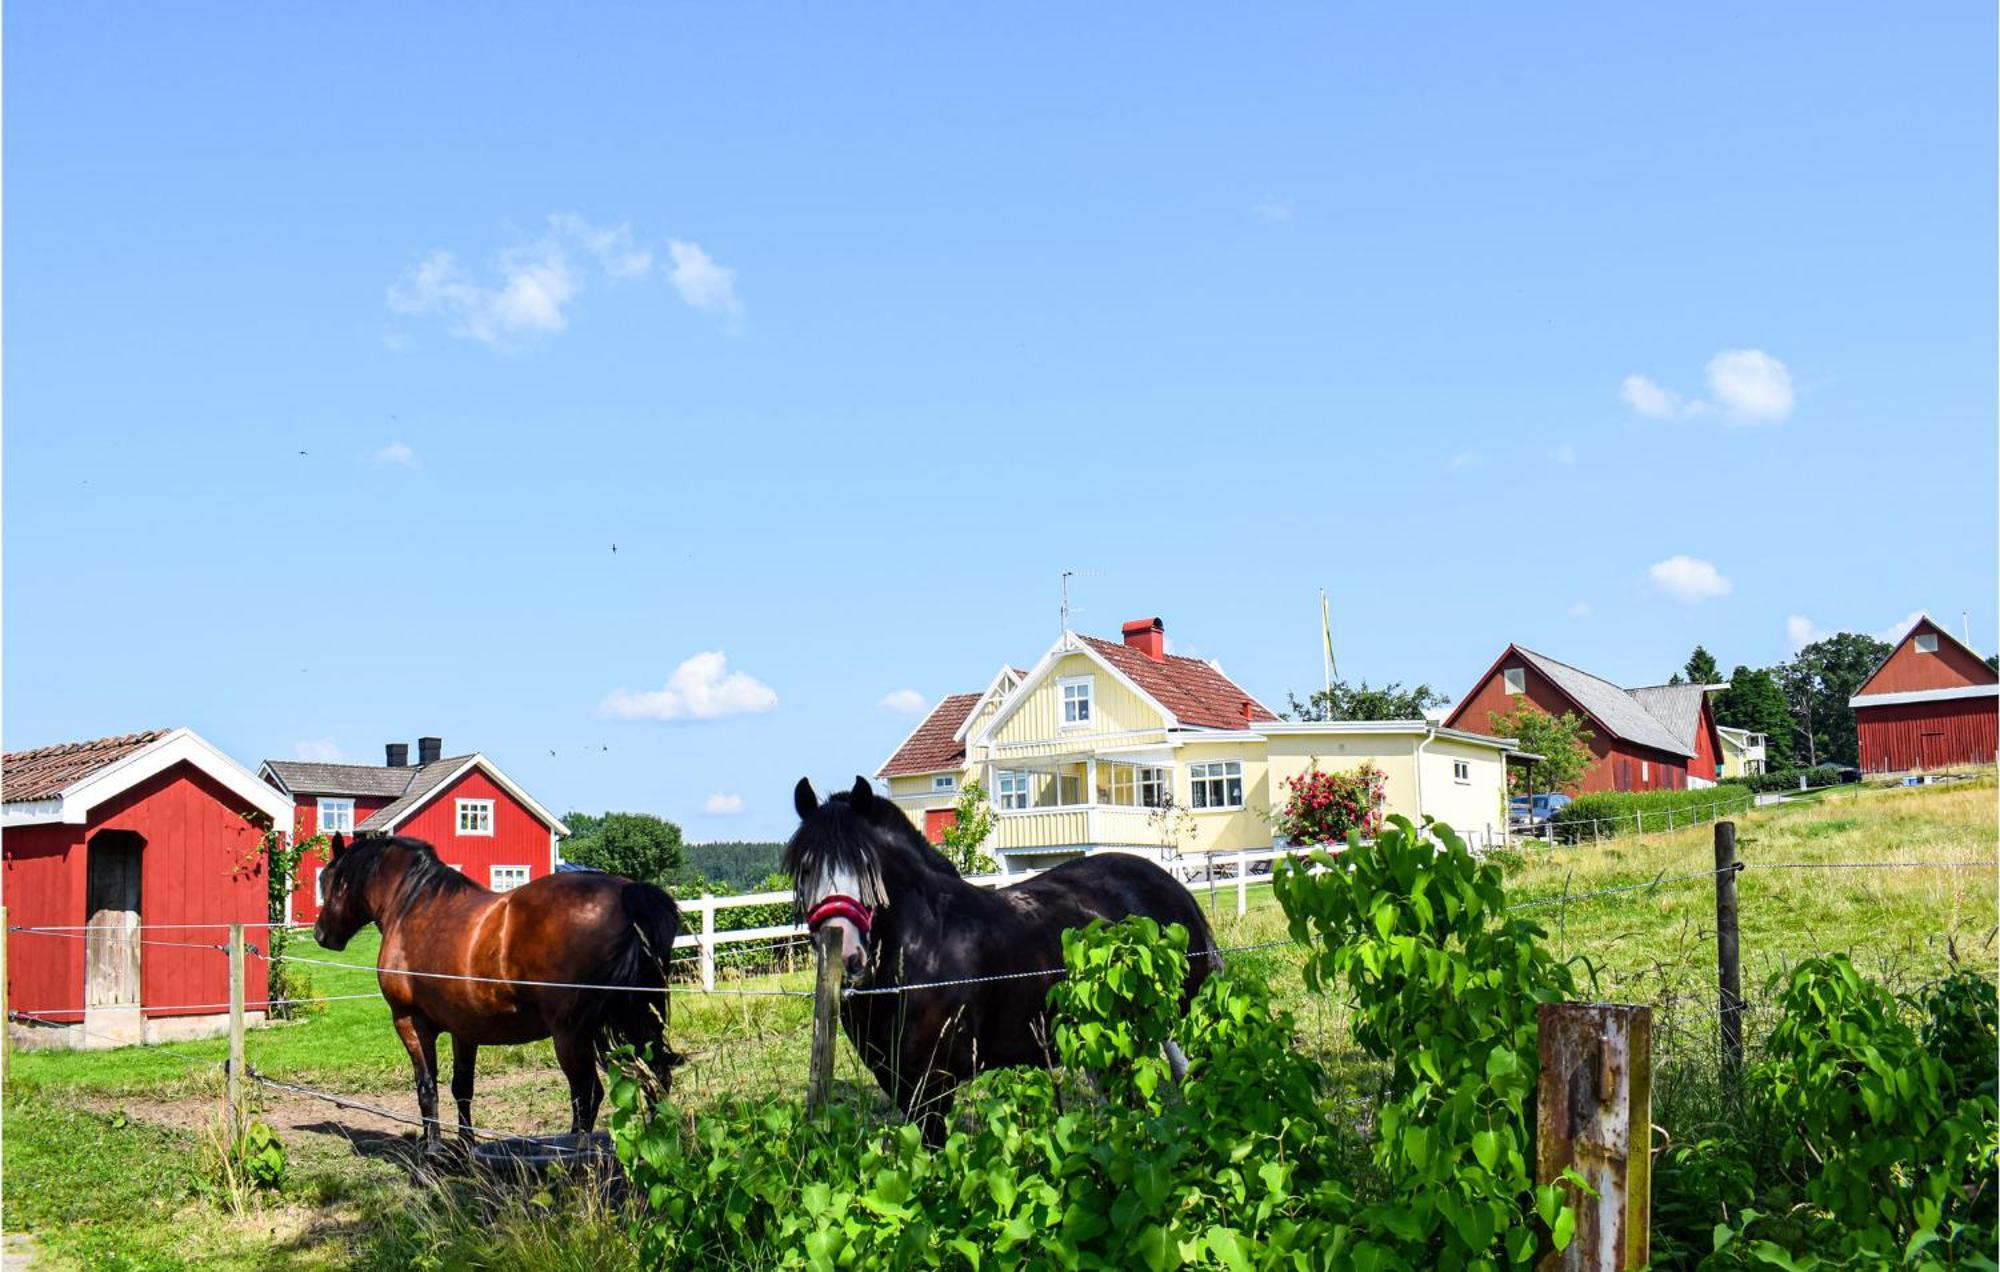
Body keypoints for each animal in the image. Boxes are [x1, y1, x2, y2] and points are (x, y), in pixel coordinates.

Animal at [312, 828, 684, 1160]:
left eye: (327, 880)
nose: (321, 934)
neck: (412, 906)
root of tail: (627, 891)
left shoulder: (410, 1021)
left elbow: (426, 1088)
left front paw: (432, 1149)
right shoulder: (464, 1030)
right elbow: (462, 1088)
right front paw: (466, 1146)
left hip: (571, 1035)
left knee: (587, 1093)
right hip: (636, 1023)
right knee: (657, 1077)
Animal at [784, 776, 1216, 1144]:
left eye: (867, 866)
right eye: (805, 868)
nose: (849, 956)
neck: (921, 948)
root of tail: (1173, 888)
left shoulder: (932, 1081)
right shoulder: (896, 1080)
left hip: (1182, 1021)